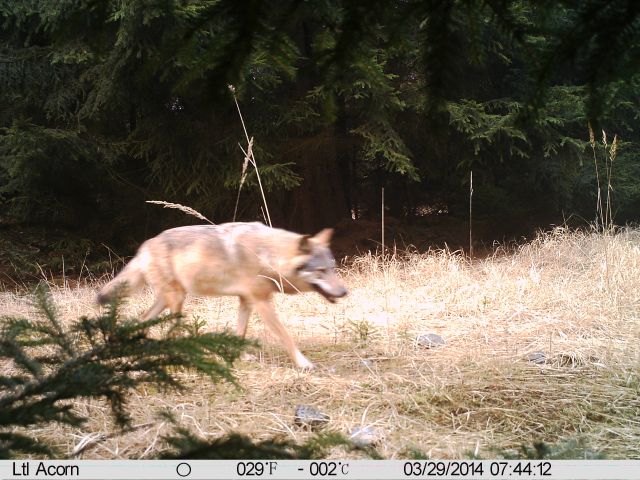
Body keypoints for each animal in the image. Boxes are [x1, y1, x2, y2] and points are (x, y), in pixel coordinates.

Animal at [99, 223, 350, 370]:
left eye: (332, 268)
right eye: (320, 271)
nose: (345, 292)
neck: (268, 256)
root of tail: (145, 246)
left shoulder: (247, 301)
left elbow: (240, 333)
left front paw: (239, 357)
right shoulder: (262, 302)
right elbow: (286, 336)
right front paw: (303, 363)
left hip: (168, 300)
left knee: (142, 319)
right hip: (177, 300)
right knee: (170, 330)